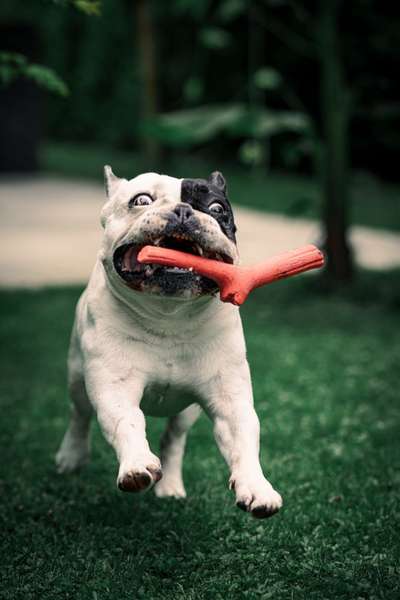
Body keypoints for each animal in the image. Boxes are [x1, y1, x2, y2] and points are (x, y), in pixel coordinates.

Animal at [55, 166, 282, 516]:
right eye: (141, 200)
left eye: (217, 208)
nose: (184, 211)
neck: (169, 317)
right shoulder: (113, 388)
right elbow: (126, 421)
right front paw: (136, 464)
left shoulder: (230, 399)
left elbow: (243, 437)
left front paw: (256, 487)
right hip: (77, 378)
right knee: (79, 415)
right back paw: (71, 457)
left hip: (187, 411)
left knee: (174, 439)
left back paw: (171, 485)